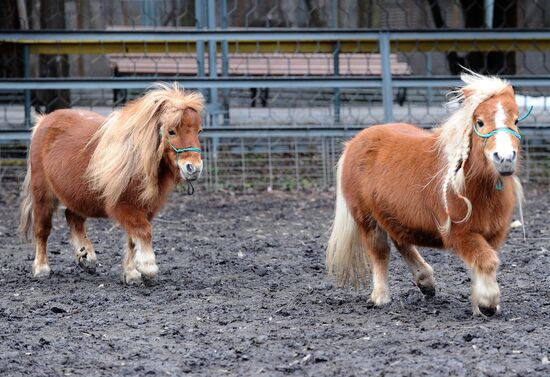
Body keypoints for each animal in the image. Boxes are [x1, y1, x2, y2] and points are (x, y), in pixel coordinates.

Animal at [19, 82, 206, 282]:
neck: (136, 157)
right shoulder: (125, 206)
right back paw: (41, 268)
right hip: (42, 193)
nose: (194, 168)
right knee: (42, 229)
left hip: (77, 195)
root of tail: (43, 121)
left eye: (198, 131)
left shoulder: (145, 207)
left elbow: (132, 240)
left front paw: (131, 273)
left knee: (73, 217)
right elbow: (143, 231)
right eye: (171, 131)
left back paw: (86, 256)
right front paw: (147, 266)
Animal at [328, 72, 528, 316]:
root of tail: (354, 143)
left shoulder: (492, 235)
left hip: (393, 214)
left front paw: (479, 303)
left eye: (516, 121)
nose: (505, 158)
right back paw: (380, 296)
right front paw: (488, 303)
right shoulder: (461, 234)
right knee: (380, 251)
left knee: (401, 241)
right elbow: (487, 261)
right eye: (479, 122)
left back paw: (426, 282)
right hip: (366, 219)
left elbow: (481, 264)